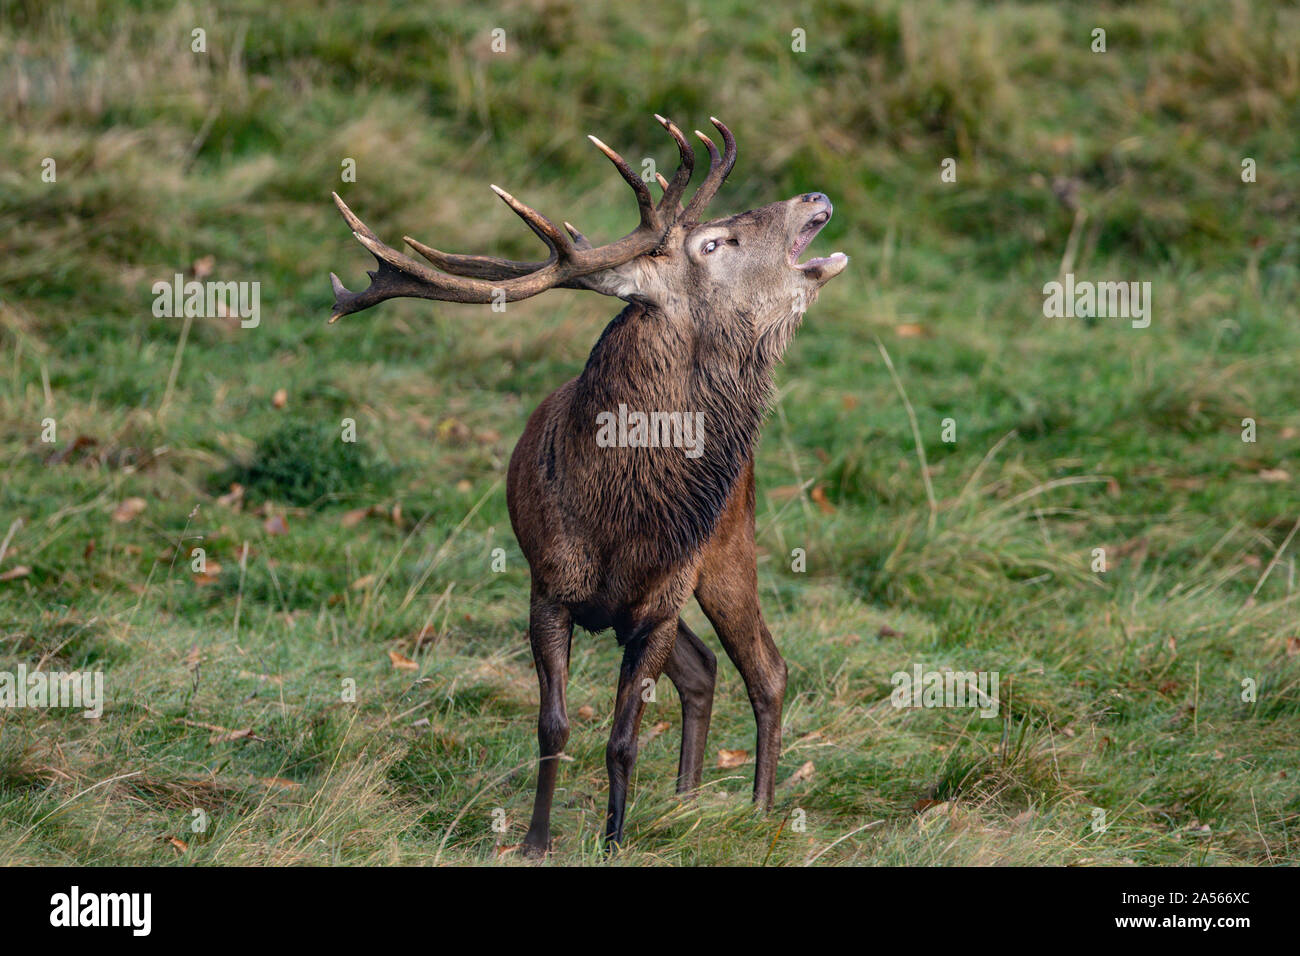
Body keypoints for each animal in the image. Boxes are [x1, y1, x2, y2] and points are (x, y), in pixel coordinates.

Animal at [328, 116, 847, 852]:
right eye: (713, 242)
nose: (814, 196)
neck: (616, 517)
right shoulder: (548, 588)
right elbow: (555, 726)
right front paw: (535, 841)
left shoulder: (658, 606)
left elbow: (622, 742)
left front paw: (615, 840)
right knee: (708, 669)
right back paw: (688, 801)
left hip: (729, 548)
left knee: (766, 668)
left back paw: (758, 812)